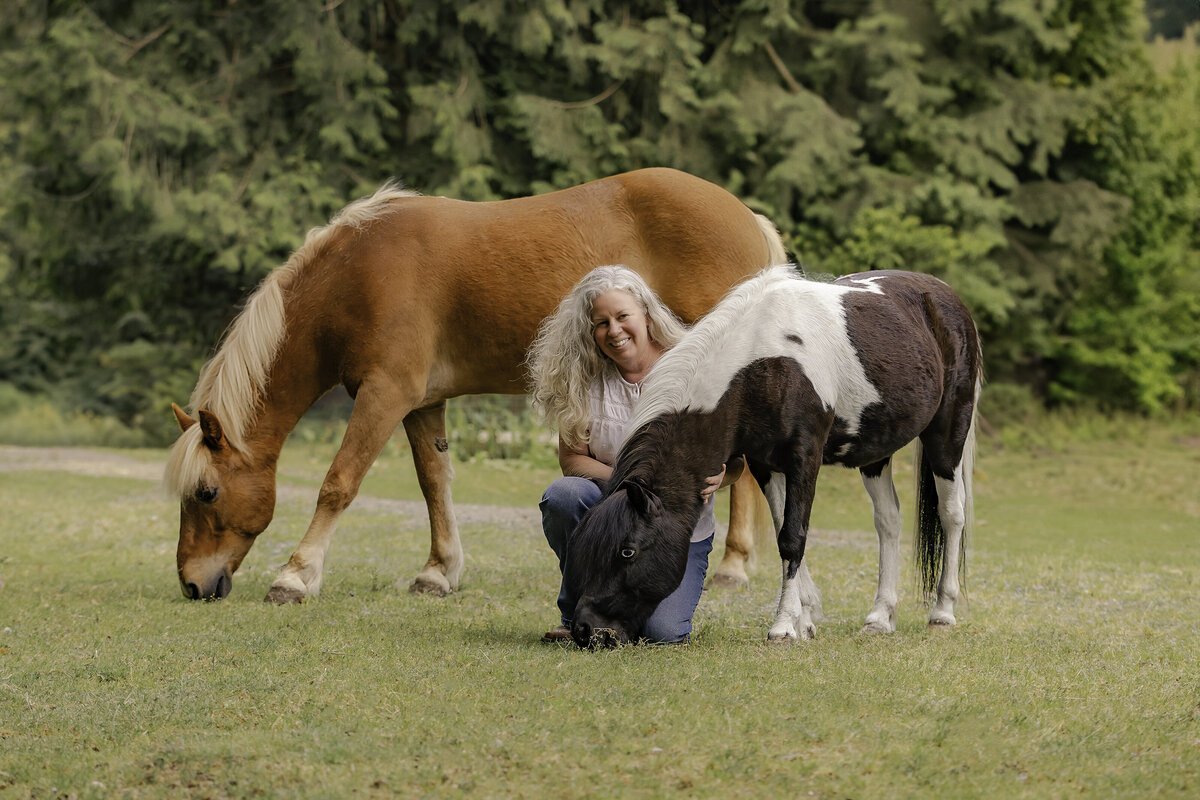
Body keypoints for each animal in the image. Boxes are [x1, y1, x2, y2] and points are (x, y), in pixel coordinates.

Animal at [164, 170, 782, 606]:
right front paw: (438, 572)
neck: (358, 275)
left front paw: (295, 576)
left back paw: (732, 567)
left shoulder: (384, 394)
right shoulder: (421, 403)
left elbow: (339, 483)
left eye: (207, 493)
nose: (191, 584)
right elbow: (433, 483)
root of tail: (748, 217)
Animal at [566, 266, 979, 647]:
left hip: (947, 435)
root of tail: (943, 296)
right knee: (888, 521)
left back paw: (942, 612)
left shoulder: (804, 458)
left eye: (627, 551)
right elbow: (785, 528)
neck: (764, 362)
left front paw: (783, 627)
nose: (585, 630)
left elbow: (793, 537)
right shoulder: (765, 464)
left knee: (952, 513)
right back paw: (880, 616)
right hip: (875, 450)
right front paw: (803, 619)